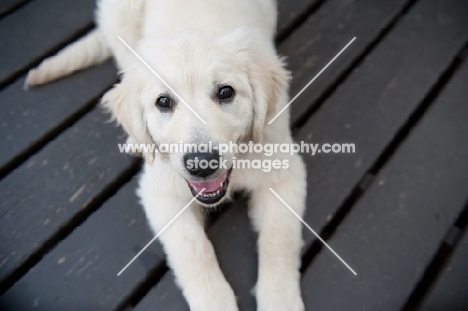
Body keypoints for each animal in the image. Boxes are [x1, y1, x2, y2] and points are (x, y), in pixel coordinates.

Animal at [27, 1, 308, 310]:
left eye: (226, 92)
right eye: (163, 102)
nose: (201, 164)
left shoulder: (285, 173)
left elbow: (279, 239)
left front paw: (280, 300)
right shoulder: (160, 193)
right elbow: (192, 250)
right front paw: (214, 302)